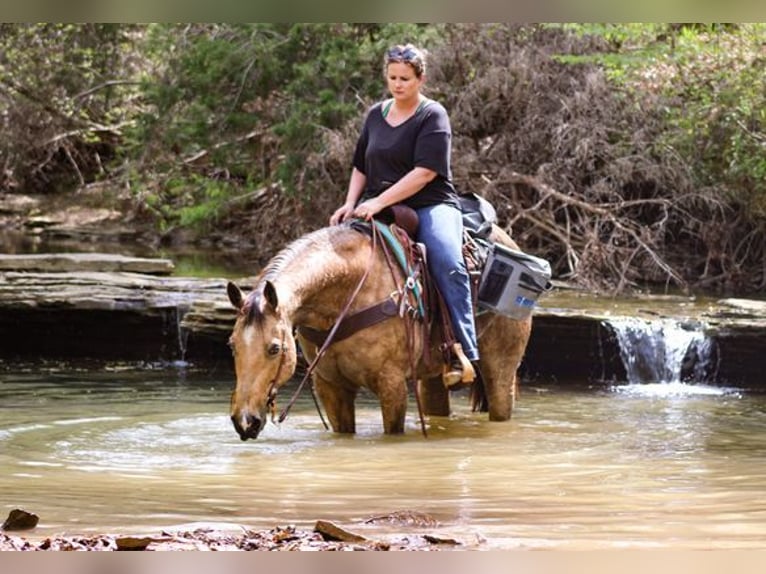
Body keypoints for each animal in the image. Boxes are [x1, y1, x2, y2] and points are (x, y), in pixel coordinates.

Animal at [225, 216, 532, 440]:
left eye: (274, 348)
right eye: (232, 345)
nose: (245, 421)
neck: (347, 291)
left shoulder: (391, 383)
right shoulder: (330, 386)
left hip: (501, 369)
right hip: (433, 379)